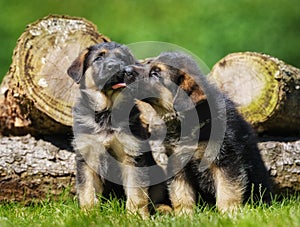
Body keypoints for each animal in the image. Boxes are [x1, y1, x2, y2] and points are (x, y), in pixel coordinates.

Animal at [66, 41, 168, 217]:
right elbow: (87, 190)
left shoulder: (133, 154)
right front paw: (88, 214)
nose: (114, 66)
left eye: (122, 58)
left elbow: (137, 192)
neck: (107, 112)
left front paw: (137, 216)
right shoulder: (86, 155)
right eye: (99, 58)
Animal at [123, 51, 274, 215]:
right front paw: (184, 214)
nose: (125, 70)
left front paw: (229, 213)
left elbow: (227, 190)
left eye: (156, 73)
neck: (187, 122)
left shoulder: (226, 159)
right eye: (147, 63)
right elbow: (181, 192)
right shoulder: (177, 163)